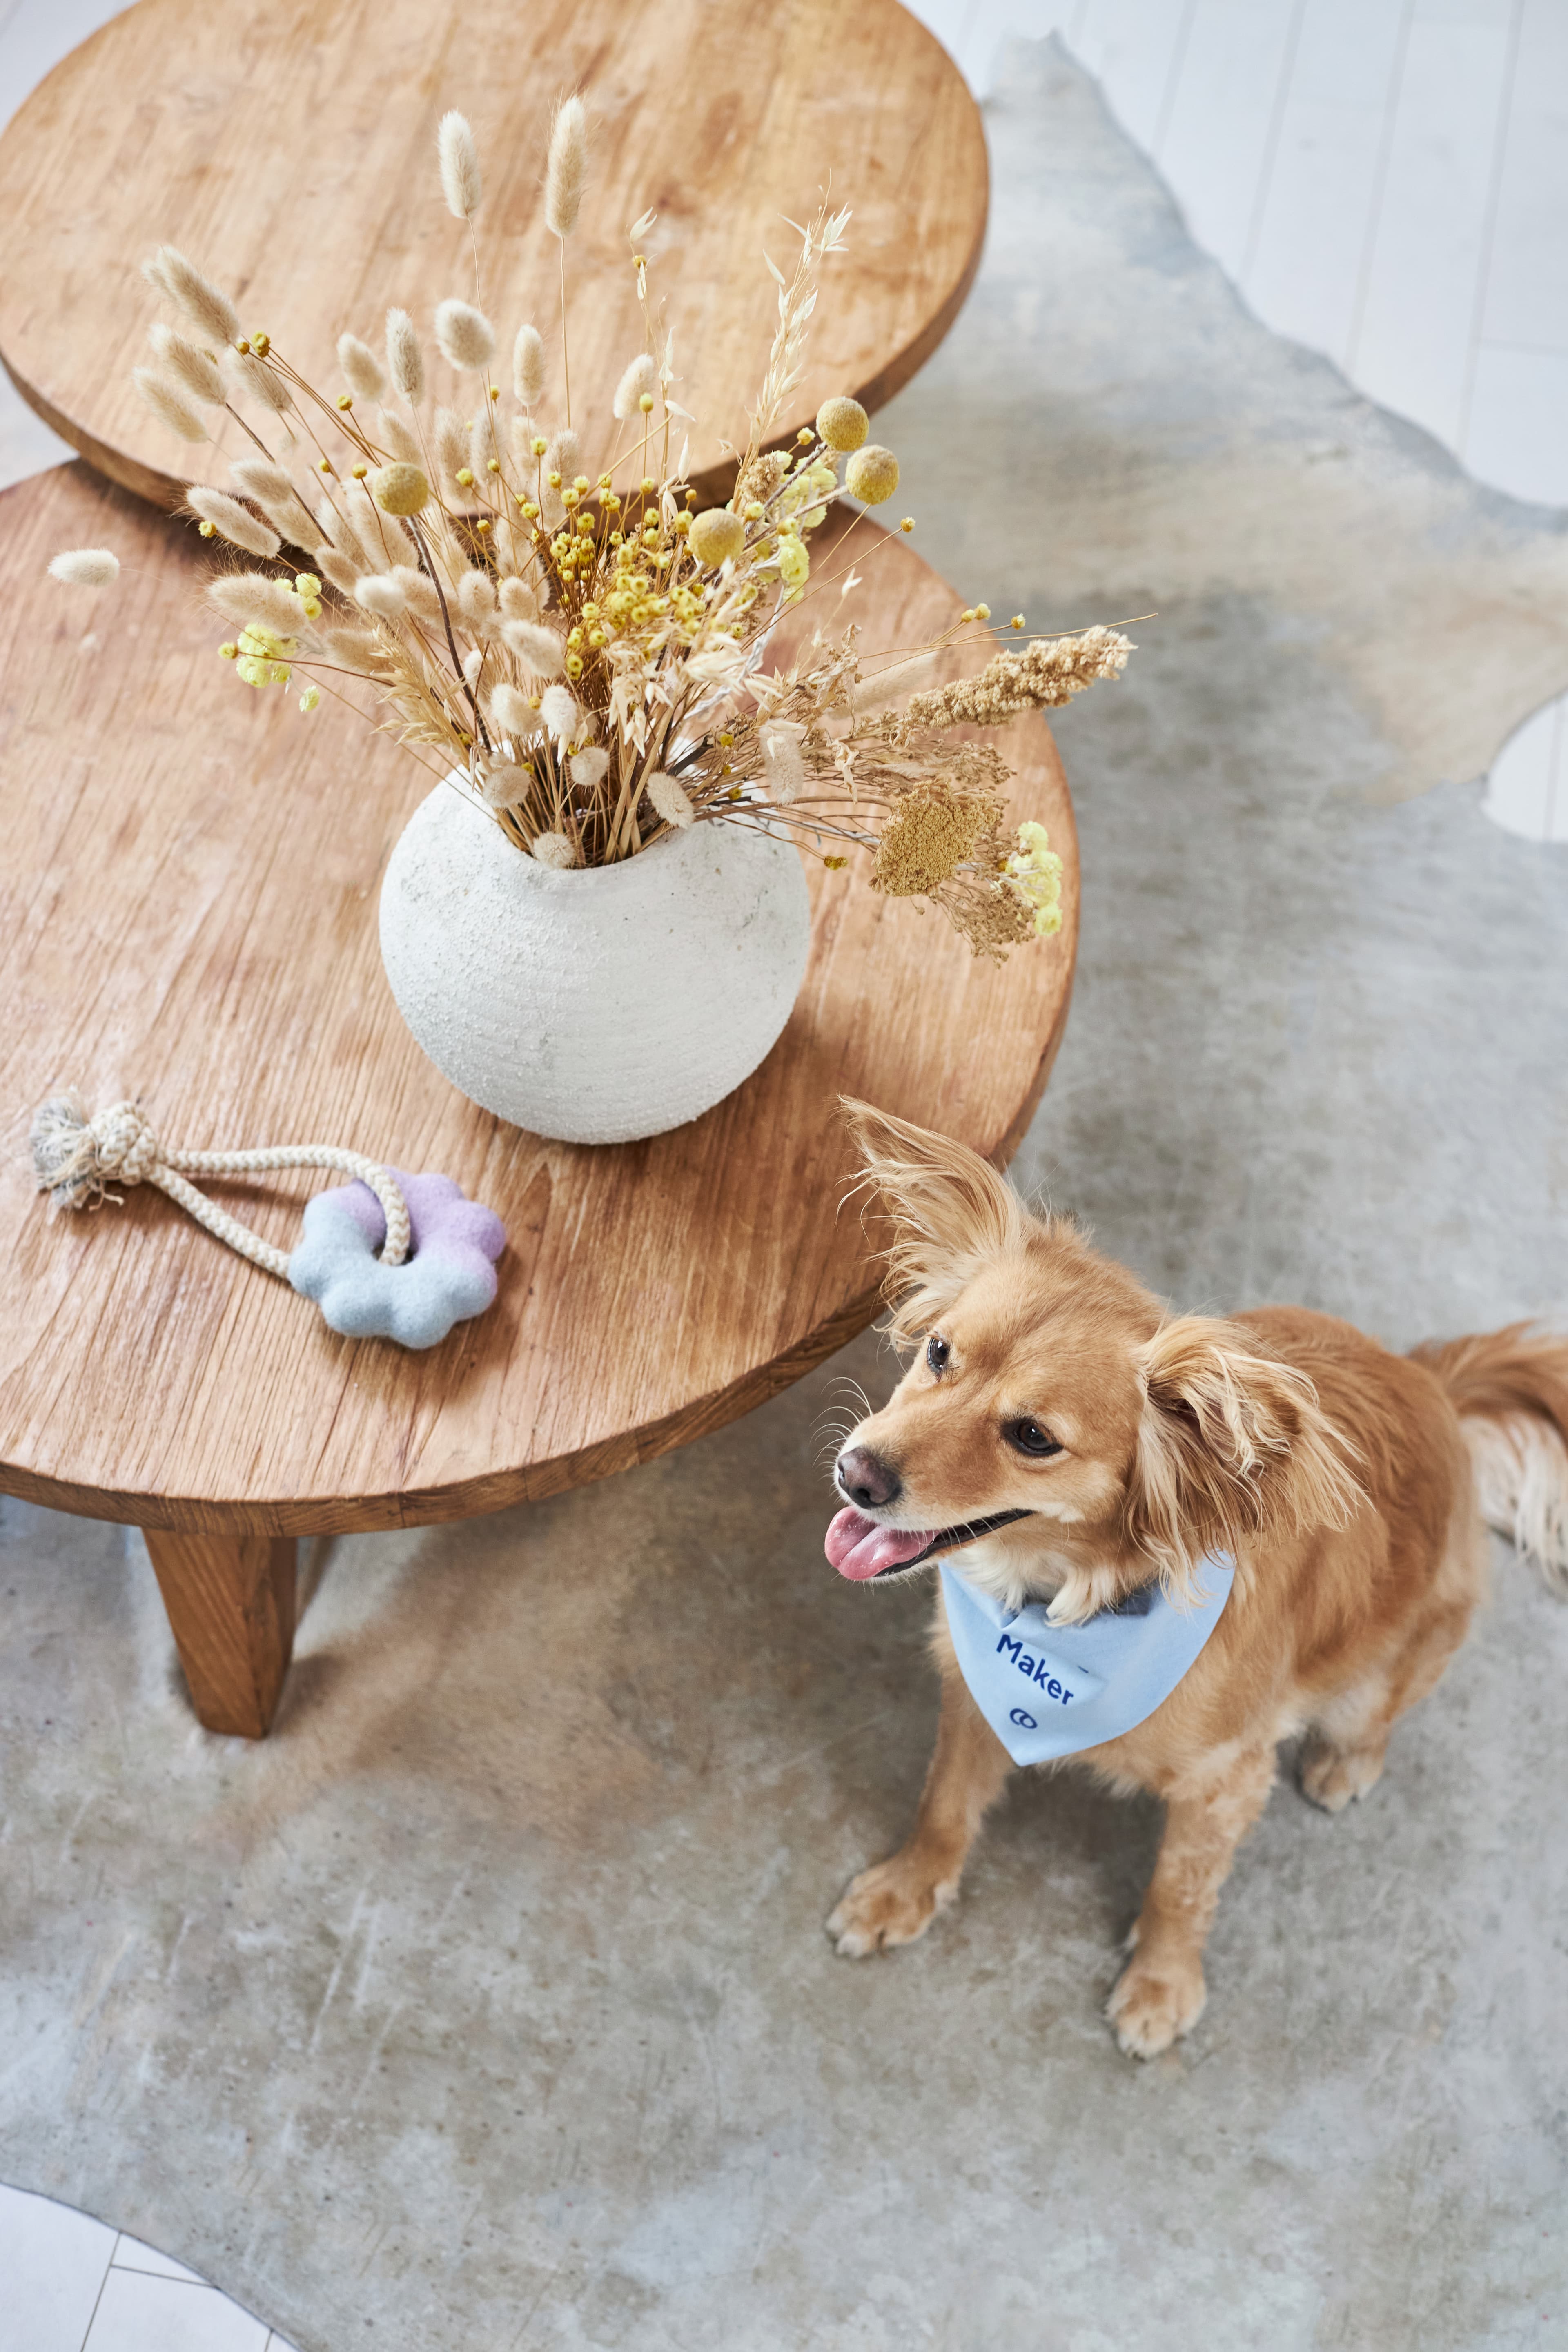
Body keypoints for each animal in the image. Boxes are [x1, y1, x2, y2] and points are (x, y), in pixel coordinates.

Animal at [827, 1100, 1561, 2060]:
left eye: (1033, 1437)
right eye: (941, 1353)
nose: (856, 1474)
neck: (1076, 1607)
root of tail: (1433, 1382)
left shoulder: (1226, 1782)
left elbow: (1180, 1888)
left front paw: (1162, 1984)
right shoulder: (974, 1694)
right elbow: (944, 1802)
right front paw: (906, 1888)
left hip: (1388, 1668)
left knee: (1377, 1716)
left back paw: (1346, 1762)